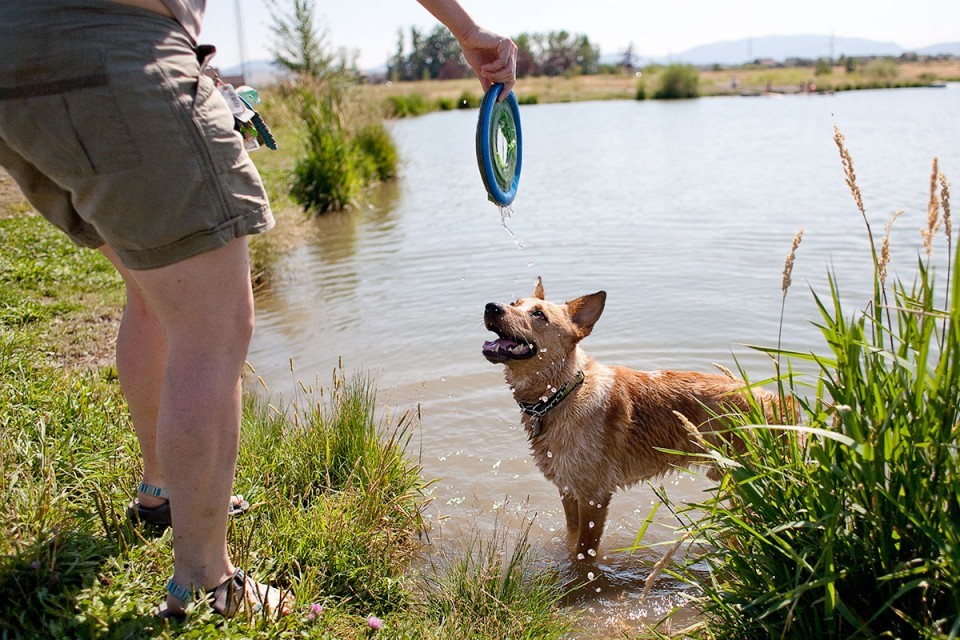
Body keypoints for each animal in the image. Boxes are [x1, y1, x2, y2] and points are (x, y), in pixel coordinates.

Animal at [484, 278, 784, 556]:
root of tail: (770, 398)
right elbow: (571, 538)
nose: (491, 306)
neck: (561, 393)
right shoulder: (568, 490)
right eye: (513, 303)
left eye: (538, 314)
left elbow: (583, 554)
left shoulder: (593, 498)